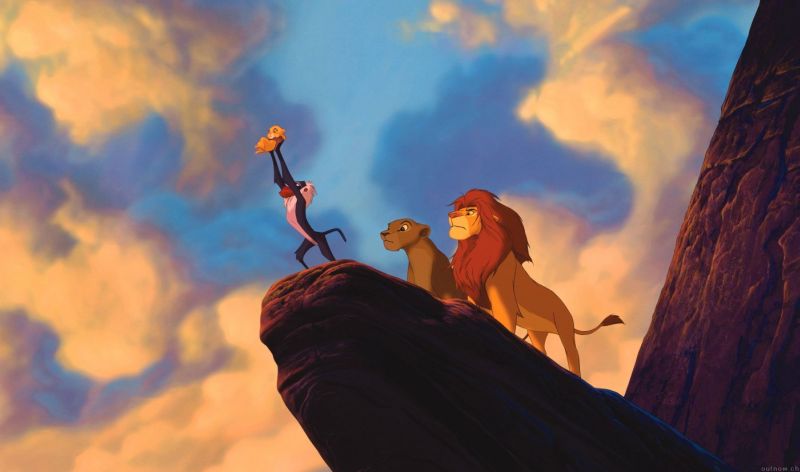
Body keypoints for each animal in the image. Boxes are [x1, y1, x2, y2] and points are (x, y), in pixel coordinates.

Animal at [448, 189, 623, 377]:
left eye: (470, 212)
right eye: (459, 209)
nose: (451, 215)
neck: (476, 249)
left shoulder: (504, 298)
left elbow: (505, 324)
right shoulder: (476, 297)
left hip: (565, 328)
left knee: (573, 355)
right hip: (537, 333)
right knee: (542, 352)